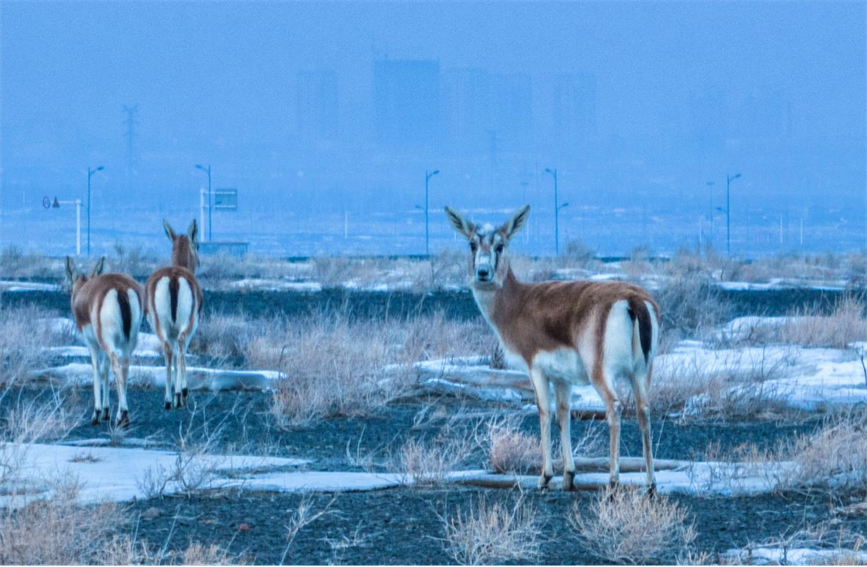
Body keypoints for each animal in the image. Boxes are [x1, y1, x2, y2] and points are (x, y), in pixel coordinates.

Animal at [65, 256, 143, 427]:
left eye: (70, 289)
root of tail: (120, 287)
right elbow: (105, 370)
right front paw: (107, 412)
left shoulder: (93, 345)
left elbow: (97, 370)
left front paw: (97, 413)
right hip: (128, 343)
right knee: (124, 368)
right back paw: (121, 415)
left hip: (107, 342)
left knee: (116, 367)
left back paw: (123, 415)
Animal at [145, 220, 202, 409]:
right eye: (197, 244)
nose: (199, 261)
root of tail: (174, 278)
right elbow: (181, 353)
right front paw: (181, 393)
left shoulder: (170, 331)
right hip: (185, 325)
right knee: (180, 346)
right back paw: (179, 394)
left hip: (160, 326)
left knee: (168, 350)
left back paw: (168, 399)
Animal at [444, 205, 660, 492]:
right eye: (472, 243)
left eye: (501, 244)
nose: (482, 272)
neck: (517, 304)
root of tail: (634, 300)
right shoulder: (562, 378)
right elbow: (563, 414)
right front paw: (569, 475)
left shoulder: (535, 369)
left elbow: (544, 412)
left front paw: (544, 477)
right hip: (641, 373)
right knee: (644, 410)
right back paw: (650, 483)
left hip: (600, 373)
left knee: (614, 407)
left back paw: (613, 479)